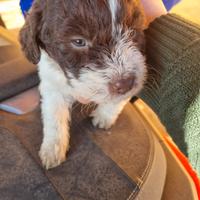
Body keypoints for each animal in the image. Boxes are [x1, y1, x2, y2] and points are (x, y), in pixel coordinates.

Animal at [19, 0, 147, 169]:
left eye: (132, 32)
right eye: (79, 41)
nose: (126, 83)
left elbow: (118, 101)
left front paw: (104, 116)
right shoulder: (51, 83)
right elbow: (54, 115)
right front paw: (53, 148)